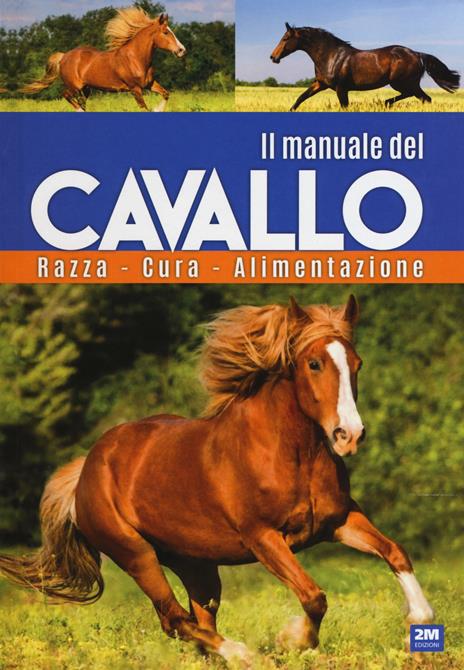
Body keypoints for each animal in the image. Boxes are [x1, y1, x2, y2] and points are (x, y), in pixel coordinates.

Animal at [0, 296, 434, 666]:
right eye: (314, 364)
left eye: (357, 363)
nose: (349, 435)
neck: (290, 454)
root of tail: (86, 469)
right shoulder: (263, 537)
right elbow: (314, 597)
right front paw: (292, 640)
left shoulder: (338, 521)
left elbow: (395, 552)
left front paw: (420, 620)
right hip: (136, 555)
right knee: (175, 619)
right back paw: (242, 653)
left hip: (196, 565)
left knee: (199, 618)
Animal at [21, 8, 186, 111]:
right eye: (165, 32)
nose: (181, 50)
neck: (136, 59)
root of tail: (64, 56)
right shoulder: (135, 89)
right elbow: (144, 108)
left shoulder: (149, 84)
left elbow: (166, 94)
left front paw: (157, 109)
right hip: (74, 86)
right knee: (66, 95)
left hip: (85, 89)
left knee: (81, 101)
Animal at [271, 23, 460, 110]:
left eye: (286, 38)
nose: (273, 57)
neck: (330, 56)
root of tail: (417, 54)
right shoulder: (320, 84)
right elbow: (301, 98)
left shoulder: (341, 88)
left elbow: (344, 106)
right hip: (404, 83)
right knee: (422, 98)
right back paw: (386, 103)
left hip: (402, 82)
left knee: (423, 97)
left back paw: (386, 103)